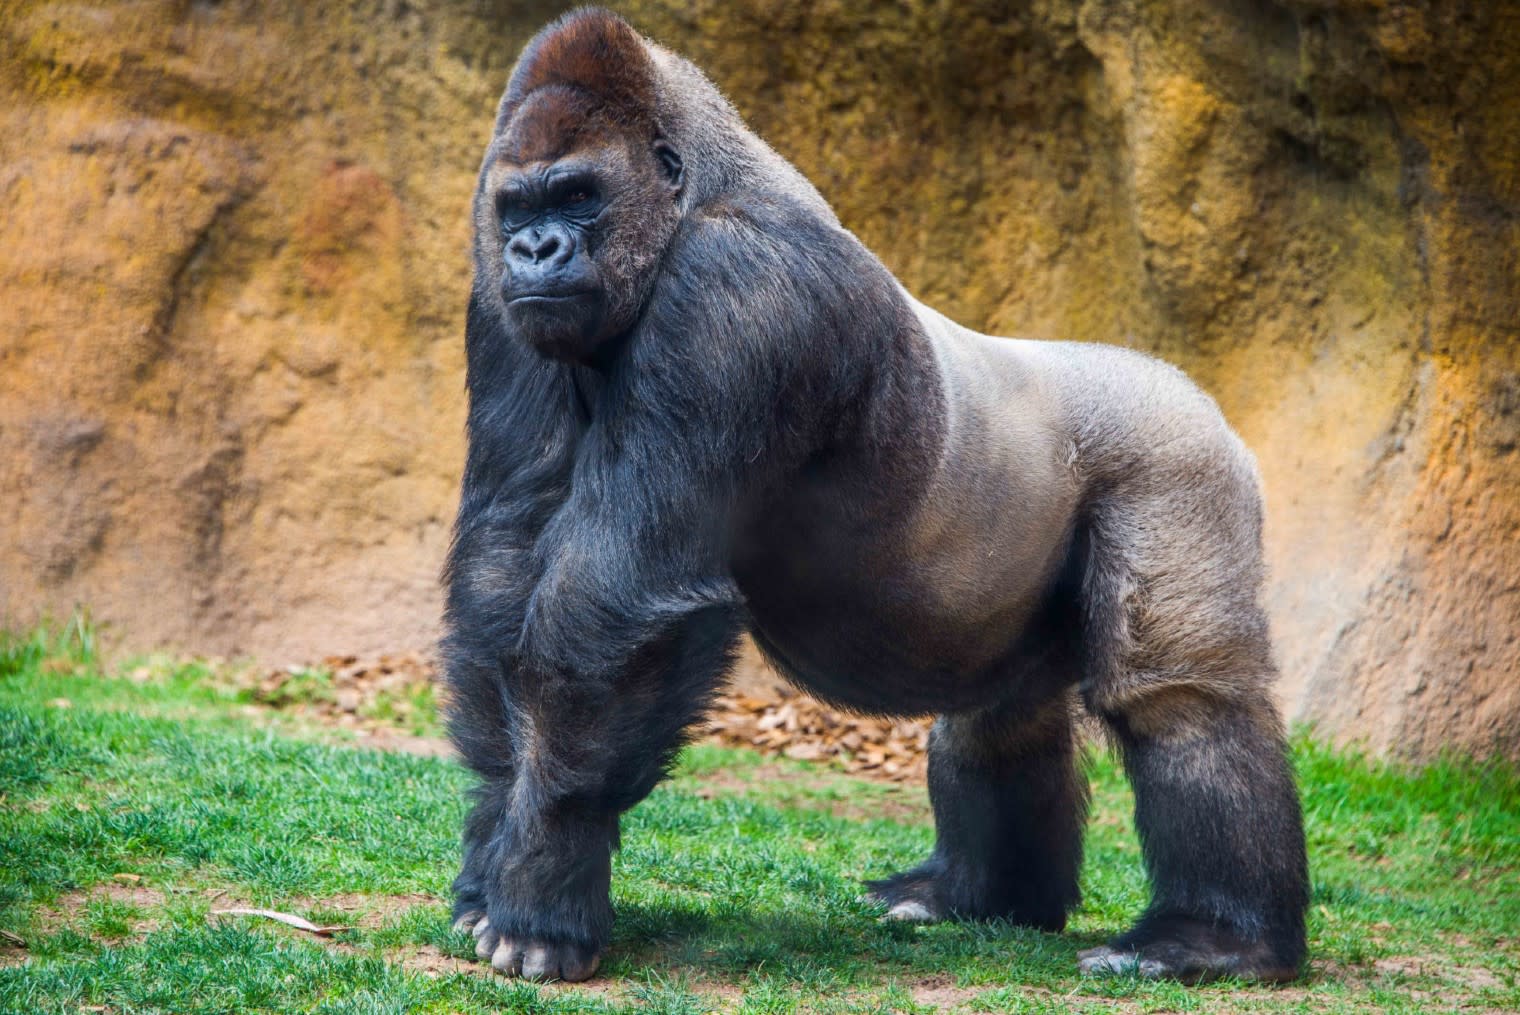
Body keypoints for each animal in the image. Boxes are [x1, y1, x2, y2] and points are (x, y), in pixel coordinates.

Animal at [441, 7, 1308, 985]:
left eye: (579, 194)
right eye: (518, 208)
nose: (534, 249)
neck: (696, 191)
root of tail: (1189, 389)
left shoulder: (737, 292)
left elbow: (618, 600)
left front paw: (545, 879)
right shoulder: (497, 303)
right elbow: (504, 567)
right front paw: (495, 853)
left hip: (1177, 458)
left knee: (1181, 696)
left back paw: (1215, 936)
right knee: (1000, 715)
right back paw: (980, 896)